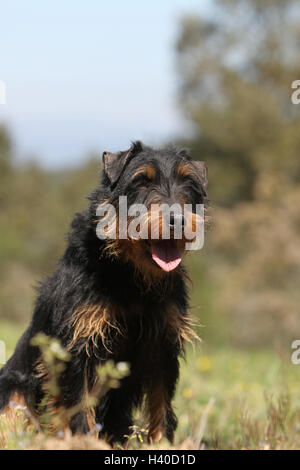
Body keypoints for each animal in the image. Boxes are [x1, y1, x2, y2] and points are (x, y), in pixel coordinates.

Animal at [0, 140, 207, 444]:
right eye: (141, 181)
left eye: (188, 182)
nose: (177, 220)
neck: (131, 277)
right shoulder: (78, 346)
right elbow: (80, 408)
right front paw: (85, 443)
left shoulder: (163, 347)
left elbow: (161, 407)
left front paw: (162, 443)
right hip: (13, 388)